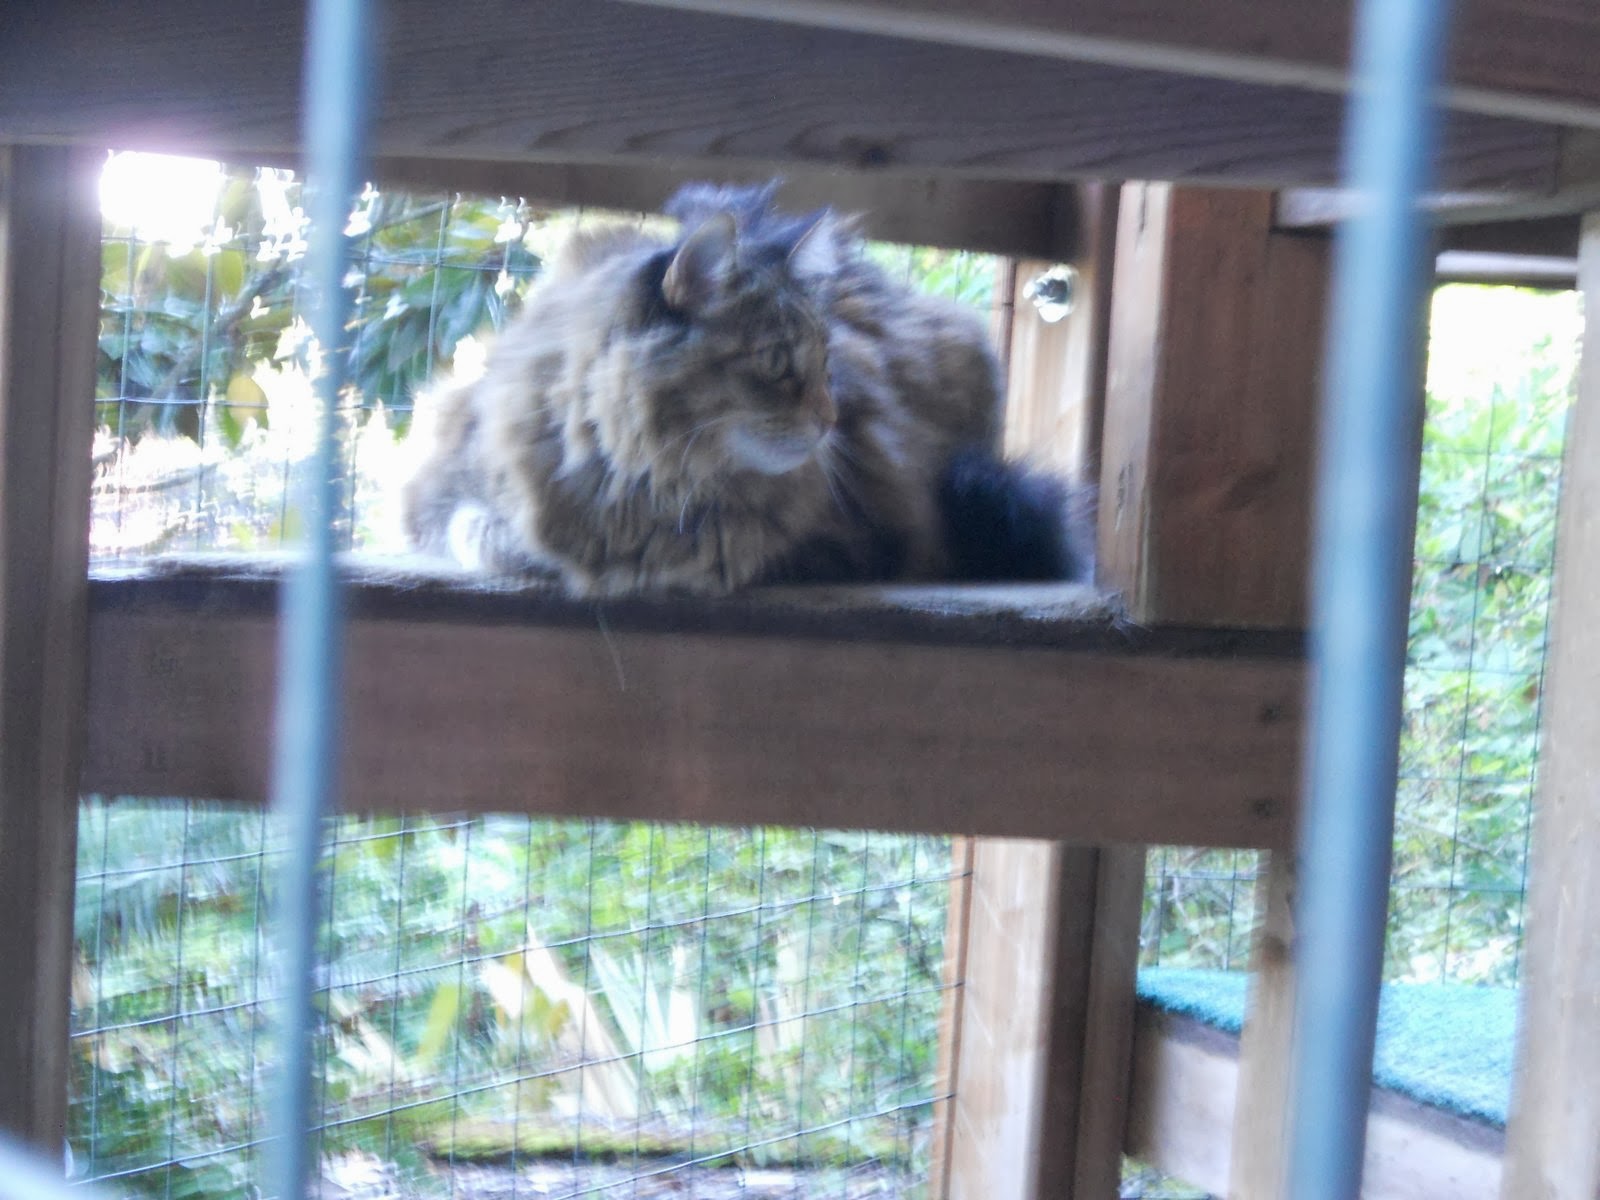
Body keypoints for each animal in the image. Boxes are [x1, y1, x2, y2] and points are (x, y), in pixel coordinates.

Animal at [400, 182, 1090, 596]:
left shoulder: (869, 540)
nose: (830, 419)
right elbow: (479, 531)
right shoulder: (441, 489)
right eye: (778, 361)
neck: (653, 485)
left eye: (828, 362)